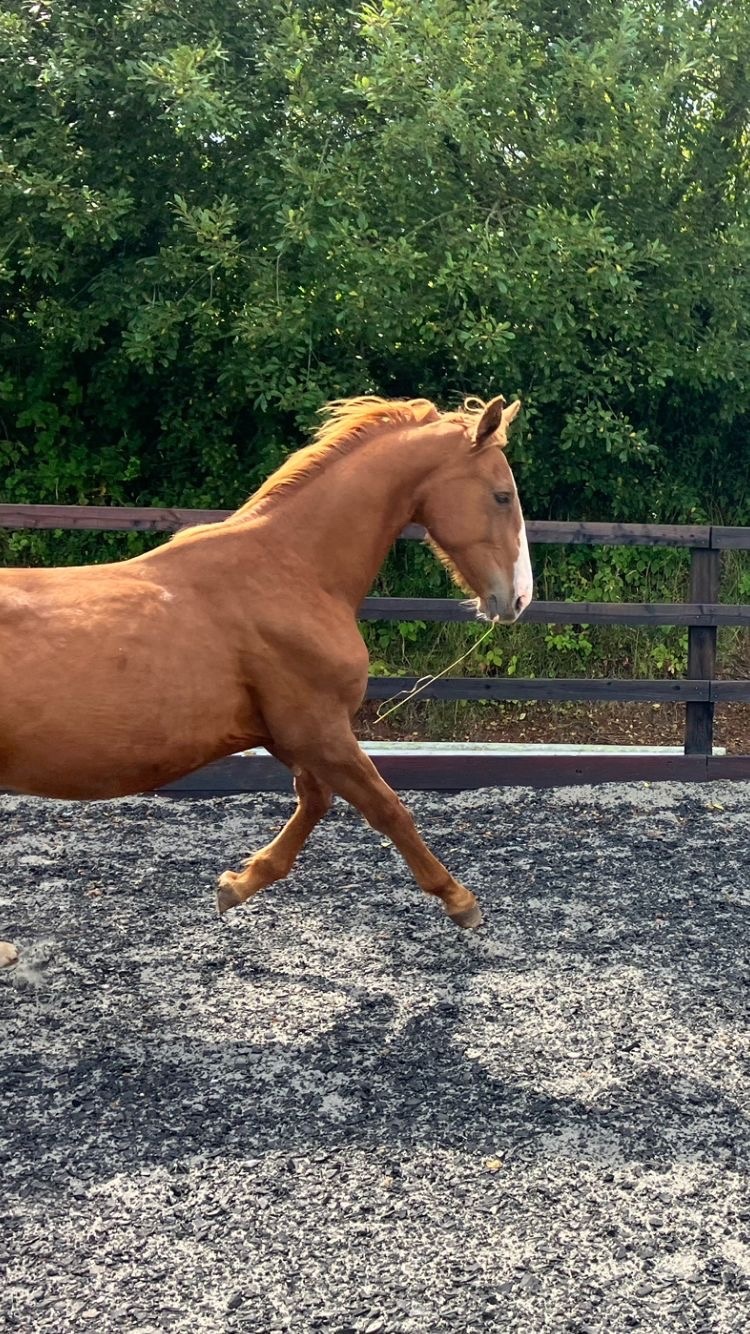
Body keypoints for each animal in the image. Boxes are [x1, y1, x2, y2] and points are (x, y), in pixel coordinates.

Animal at [0, 393, 532, 965]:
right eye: (502, 496)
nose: (519, 599)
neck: (293, 572)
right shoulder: (319, 729)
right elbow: (388, 809)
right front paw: (460, 901)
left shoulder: (287, 734)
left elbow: (316, 801)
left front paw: (236, 884)